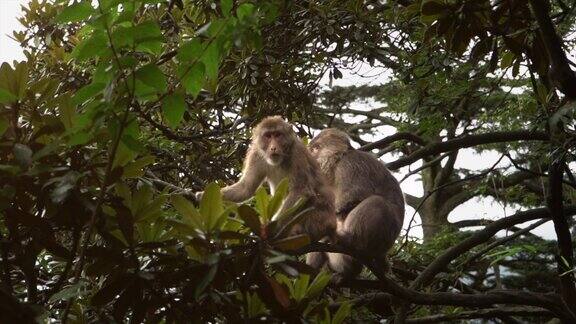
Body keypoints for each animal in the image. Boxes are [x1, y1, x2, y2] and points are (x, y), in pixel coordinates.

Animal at [195, 115, 336, 244]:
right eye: (268, 136)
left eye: (278, 135)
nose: (273, 147)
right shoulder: (256, 154)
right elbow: (245, 188)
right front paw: (201, 196)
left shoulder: (297, 153)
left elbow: (301, 190)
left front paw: (269, 230)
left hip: (319, 220)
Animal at [308, 128, 402, 282]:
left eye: (316, 149)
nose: (310, 156)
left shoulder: (350, 165)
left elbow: (354, 196)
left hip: (383, 238)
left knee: (378, 202)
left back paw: (348, 240)